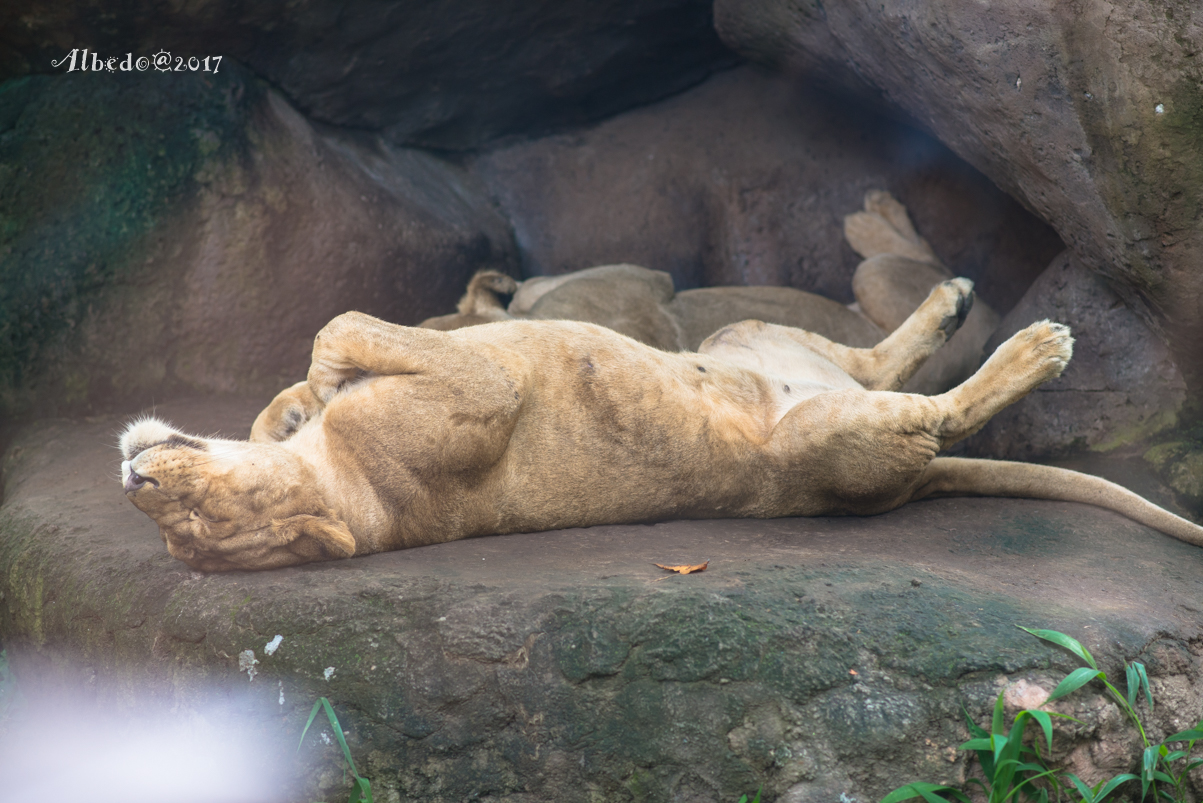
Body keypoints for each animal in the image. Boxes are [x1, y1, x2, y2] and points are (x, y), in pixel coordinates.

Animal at [122, 274, 1203, 570]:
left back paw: (951, 298)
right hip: (825, 438)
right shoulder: (482, 388)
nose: (135, 481)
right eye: (190, 527)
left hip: (744, 329)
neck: (343, 486)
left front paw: (293, 402)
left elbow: (324, 341)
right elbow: (339, 323)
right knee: (935, 413)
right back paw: (1037, 344)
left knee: (868, 356)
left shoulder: (461, 366)